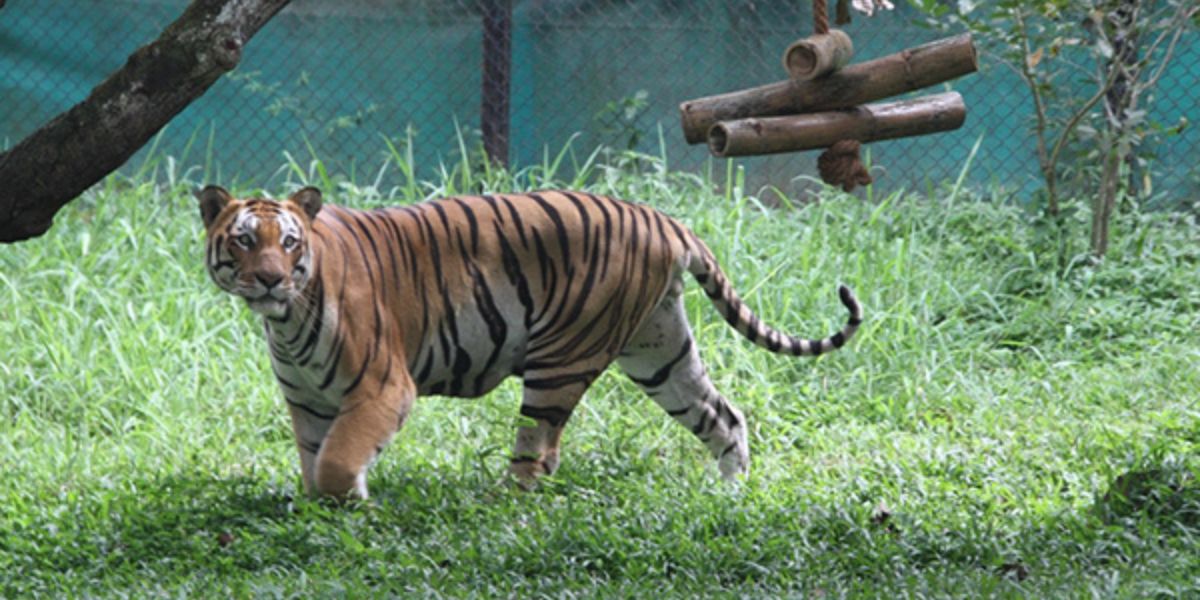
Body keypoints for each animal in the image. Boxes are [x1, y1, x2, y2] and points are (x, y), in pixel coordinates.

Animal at [197, 185, 862, 499]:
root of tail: (665, 219)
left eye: (288, 242)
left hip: (563, 357)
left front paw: (355, 505)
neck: (286, 321)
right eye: (243, 240)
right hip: (659, 350)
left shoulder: (383, 388)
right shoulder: (308, 402)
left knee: (538, 452)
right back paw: (731, 492)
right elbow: (315, 465)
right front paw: (327, 513)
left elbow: (338, 461)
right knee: (723, 415)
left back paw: (500, 503)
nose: (270, 279)